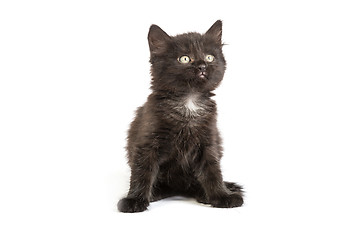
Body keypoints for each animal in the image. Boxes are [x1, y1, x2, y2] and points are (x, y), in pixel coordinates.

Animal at [119, 20, 243, 212]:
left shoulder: (208, 142)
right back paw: (155, 193)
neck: (189, 103)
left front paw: (222, 196)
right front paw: (134, 199)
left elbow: (213, 171)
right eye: (184, 59)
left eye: (209, 57)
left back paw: (203, 194)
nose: (202, 66)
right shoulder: (147, 142)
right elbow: (142, 171)